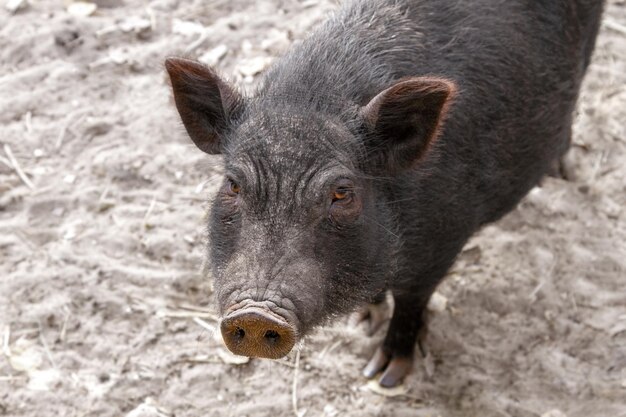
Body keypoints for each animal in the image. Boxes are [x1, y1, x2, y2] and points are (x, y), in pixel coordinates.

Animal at [163, 0, 604, 386]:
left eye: (342, 193)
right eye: (233, 184)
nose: (255, 316)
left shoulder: (444, 240)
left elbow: (411, 301)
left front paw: (384, 375)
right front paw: (363, 324)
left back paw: (561, 173)